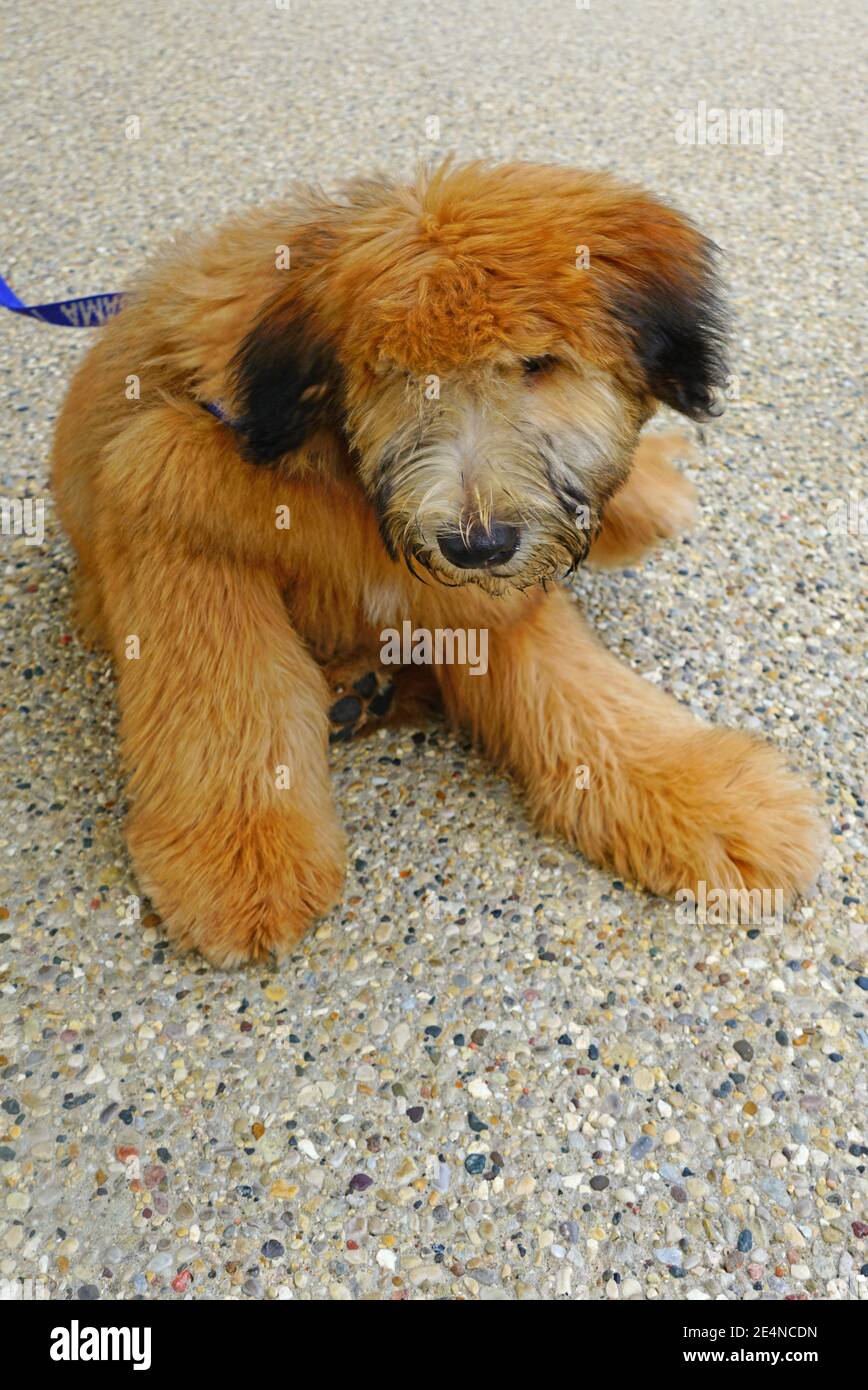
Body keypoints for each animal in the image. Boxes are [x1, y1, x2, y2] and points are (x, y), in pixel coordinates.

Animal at [50, 162, 823, 961]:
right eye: (398, 374)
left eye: (537, 363)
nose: (476, 544)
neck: (340, 462)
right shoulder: (165, 487)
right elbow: (223, 683)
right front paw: (239, 855)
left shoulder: (486, 591)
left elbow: (574, 689)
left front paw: (709, 799)